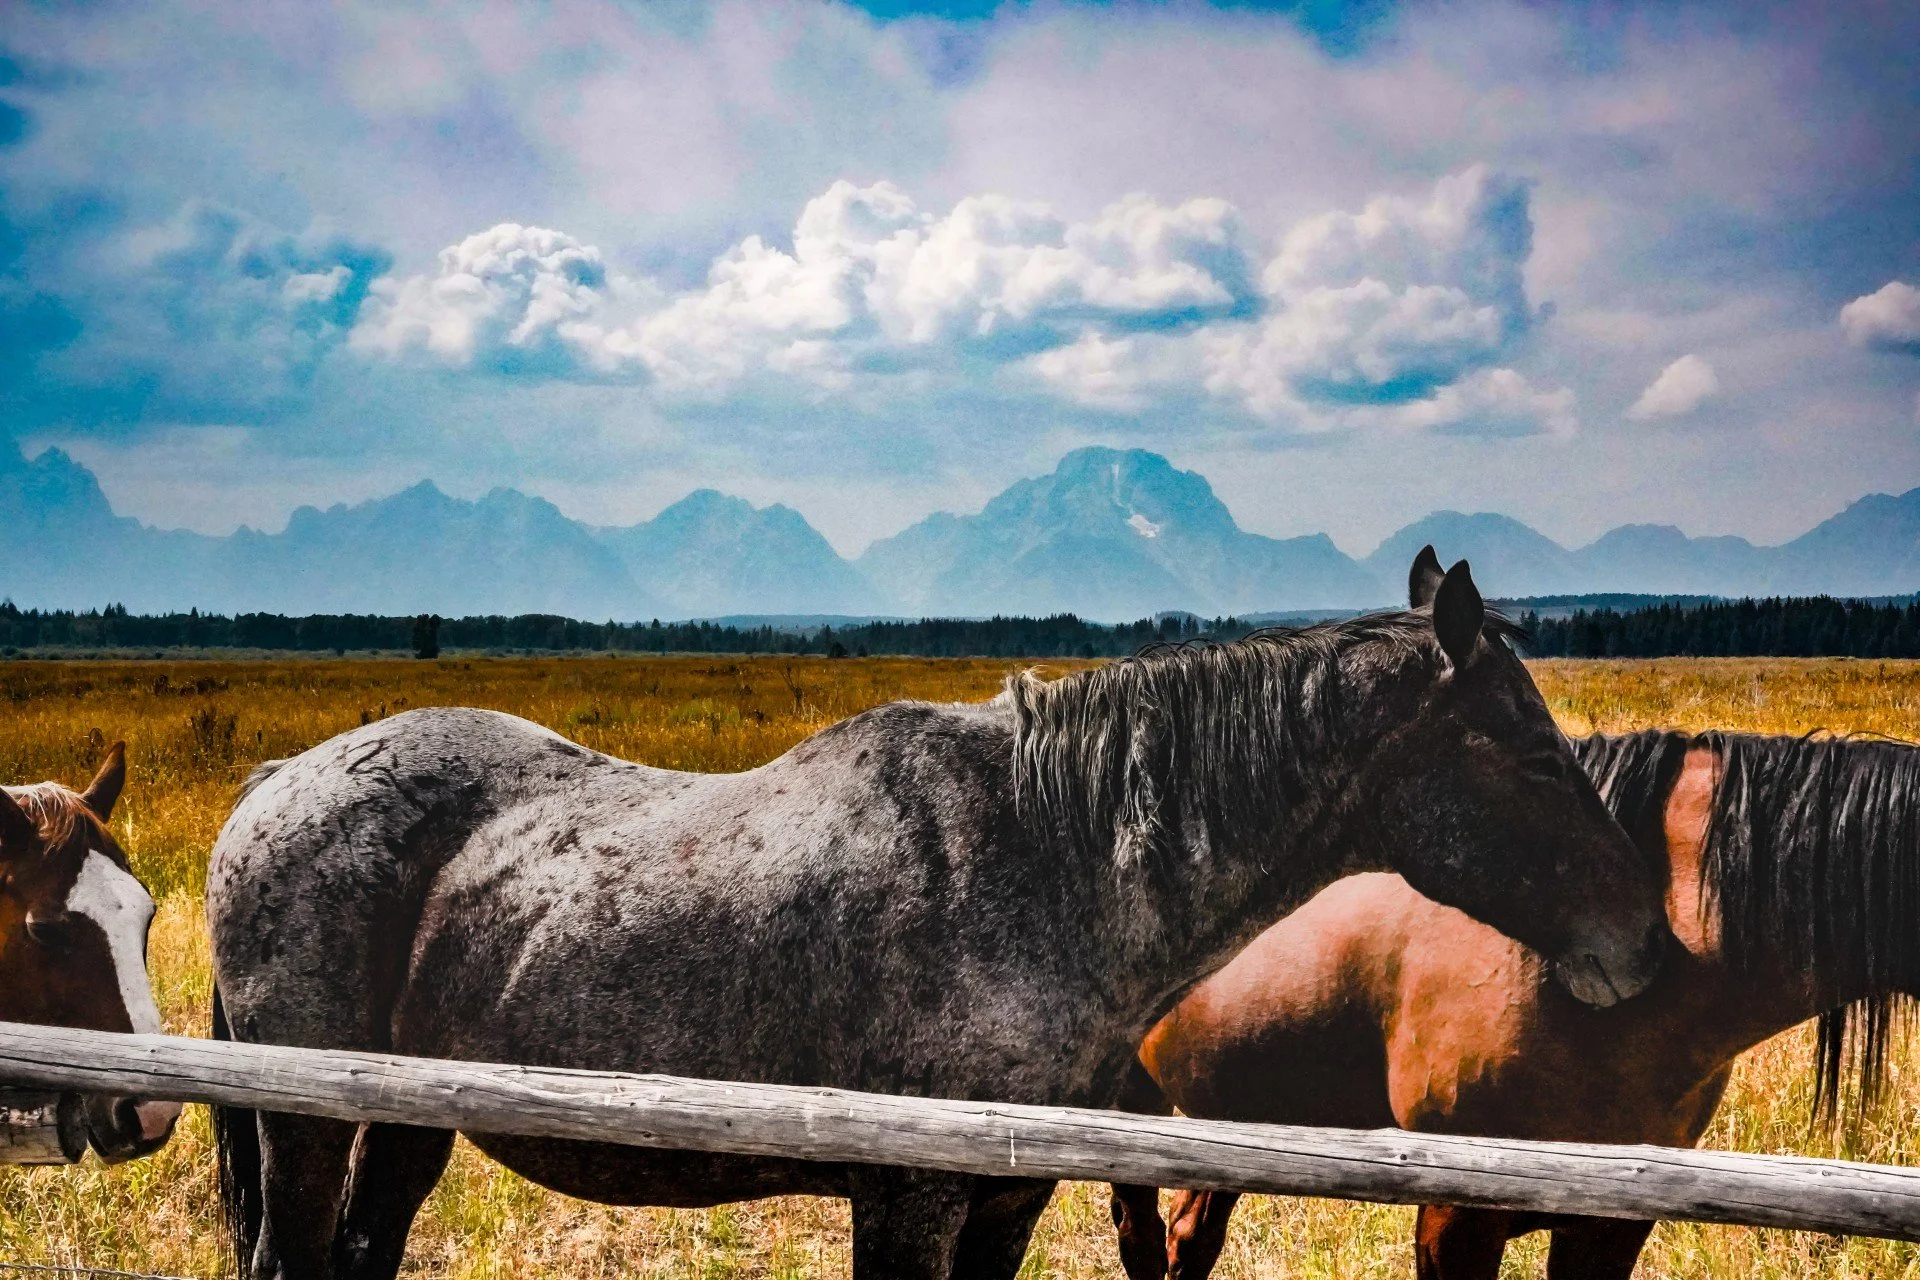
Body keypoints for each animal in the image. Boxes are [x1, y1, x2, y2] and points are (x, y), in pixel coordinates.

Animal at [206, 550, 1667, 1280]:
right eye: (1532, 753)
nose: (1645, 944)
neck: (1040, 864)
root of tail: (278, 783)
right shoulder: (905, 1196)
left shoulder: (1005, 1199)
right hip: (308, 1126)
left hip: (408, 1125)